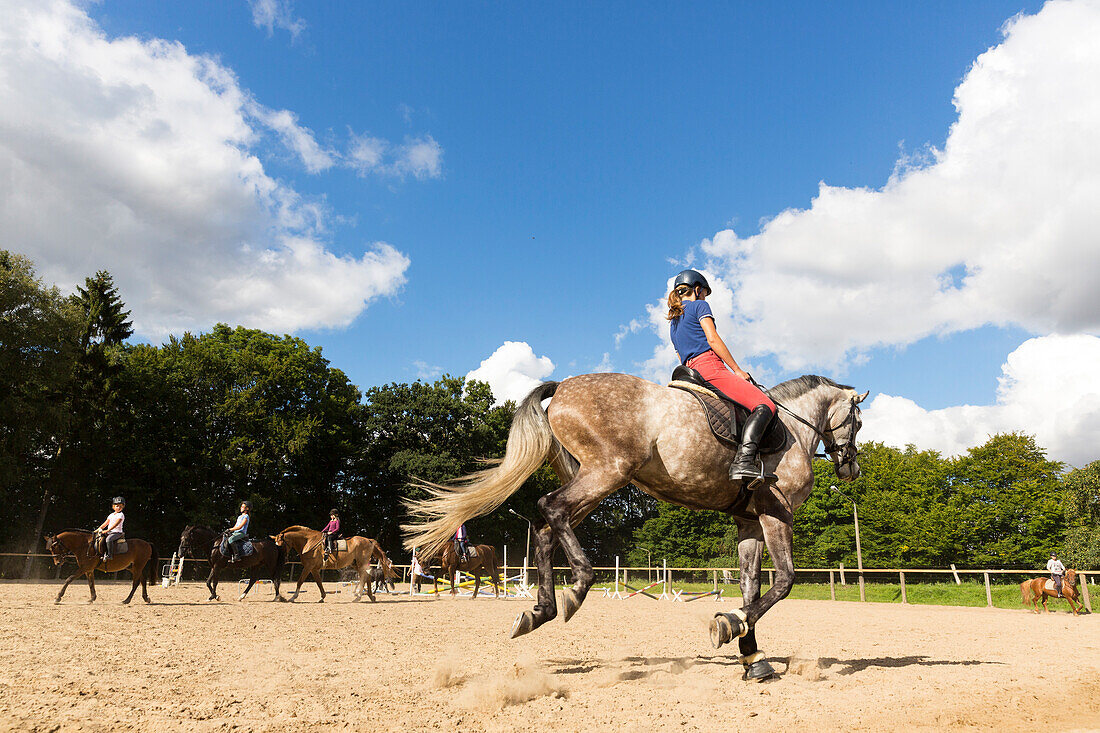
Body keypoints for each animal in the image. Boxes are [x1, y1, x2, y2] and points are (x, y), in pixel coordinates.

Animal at [404, 372, 866, 677]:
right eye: (858, 422)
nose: (852, 469)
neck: (792, 428)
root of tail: (564, 384)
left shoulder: (748, 521)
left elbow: (752, 587)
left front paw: (752, 657)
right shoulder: (775, 512)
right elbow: (784, 580)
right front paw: (728, 625)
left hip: (594, 479)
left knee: (547, 527)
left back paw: (541, 610)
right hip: (606, 472)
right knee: (551, 509)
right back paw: (578, 586)